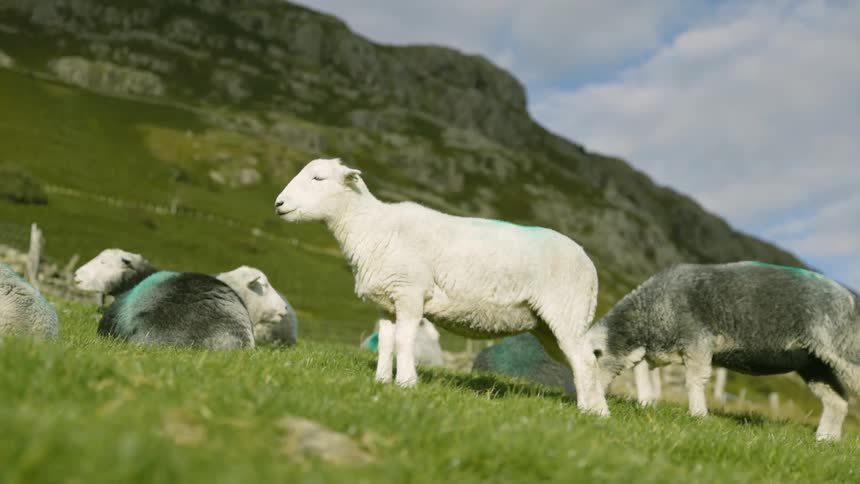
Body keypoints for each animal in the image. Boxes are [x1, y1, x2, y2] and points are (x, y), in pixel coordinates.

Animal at [274, 158, 606, 415]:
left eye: (318, 178)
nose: (278, 204)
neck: (372, 228)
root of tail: (589, 263)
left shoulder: (410, 293)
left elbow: (404, 341)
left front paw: (406, 383)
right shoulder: (386, 304)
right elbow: (385, 344)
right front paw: (382, 382)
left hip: (566, 311)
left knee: (585, 361)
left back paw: (588, 412)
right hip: (549, 326)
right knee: (584, 362)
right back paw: (598, 410)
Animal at [587, 261, 860, 440]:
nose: (586, 407)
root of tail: (850, 297)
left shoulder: (697, 340)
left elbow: (694, 381)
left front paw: (698, 415)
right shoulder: (652, 352)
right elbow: (644, 376)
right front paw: (647, 405)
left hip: (844, 348)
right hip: (814, 363)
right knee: (836, 401)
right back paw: (826, 440)